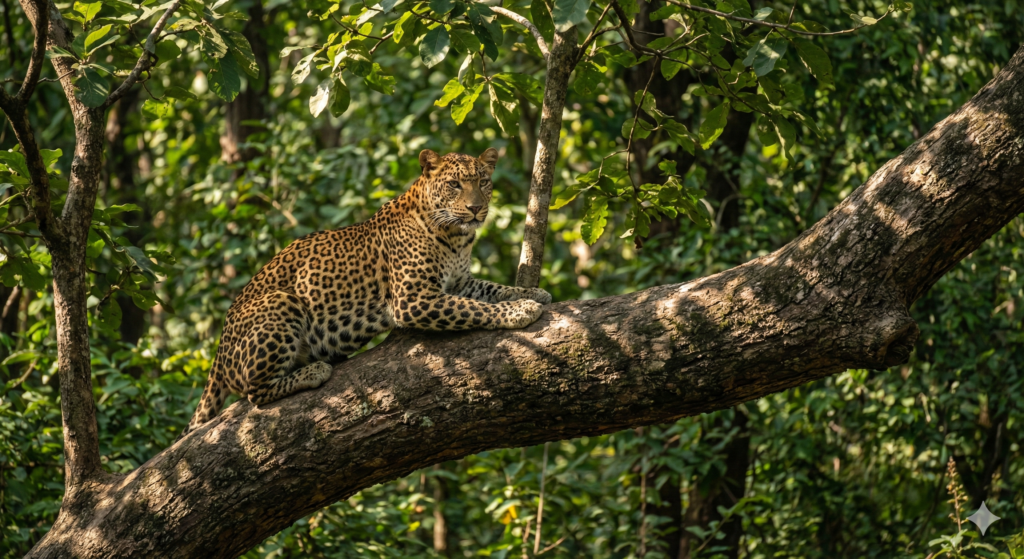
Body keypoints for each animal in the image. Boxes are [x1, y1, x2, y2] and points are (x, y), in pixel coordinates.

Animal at [178, 148, 551, 438]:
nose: (475, 209)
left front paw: (533, 293)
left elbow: (491, 289)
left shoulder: (459, 283)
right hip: (281, 302)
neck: (456, 237)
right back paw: (313, 371)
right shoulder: (414, 299)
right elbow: (474, 309)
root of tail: (219, 350)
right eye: (454, 184)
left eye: (483, 182)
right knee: (255, 393)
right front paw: (520, 310)